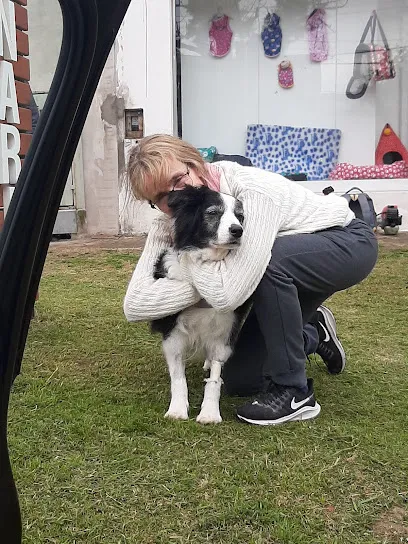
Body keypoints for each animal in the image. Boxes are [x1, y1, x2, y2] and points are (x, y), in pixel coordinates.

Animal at [151, 187, 250, 424]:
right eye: (213, 213)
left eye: (240, 216)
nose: (238, 231)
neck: (209, 260)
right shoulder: (173, 332)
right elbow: (178, 377)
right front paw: (177, 410)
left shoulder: (223, 332)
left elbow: (215, 376)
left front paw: (210, 413)